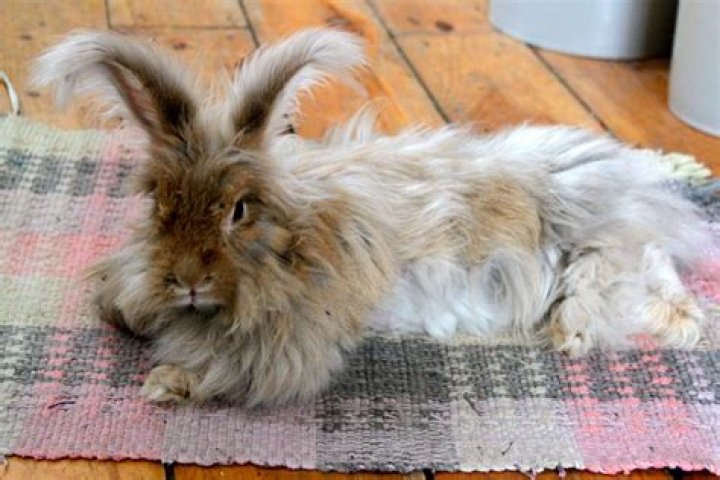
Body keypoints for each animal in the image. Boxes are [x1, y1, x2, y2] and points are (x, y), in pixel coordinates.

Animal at [34, 28, 711, 407]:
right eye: (158, 204)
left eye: (240, 210)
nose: (187, 281)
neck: (296, 241)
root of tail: (634, 182)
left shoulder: (288, 346)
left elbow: (229, 373)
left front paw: (164, 385)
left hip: (594, 234)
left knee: (630, 267)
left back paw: (587, 333)